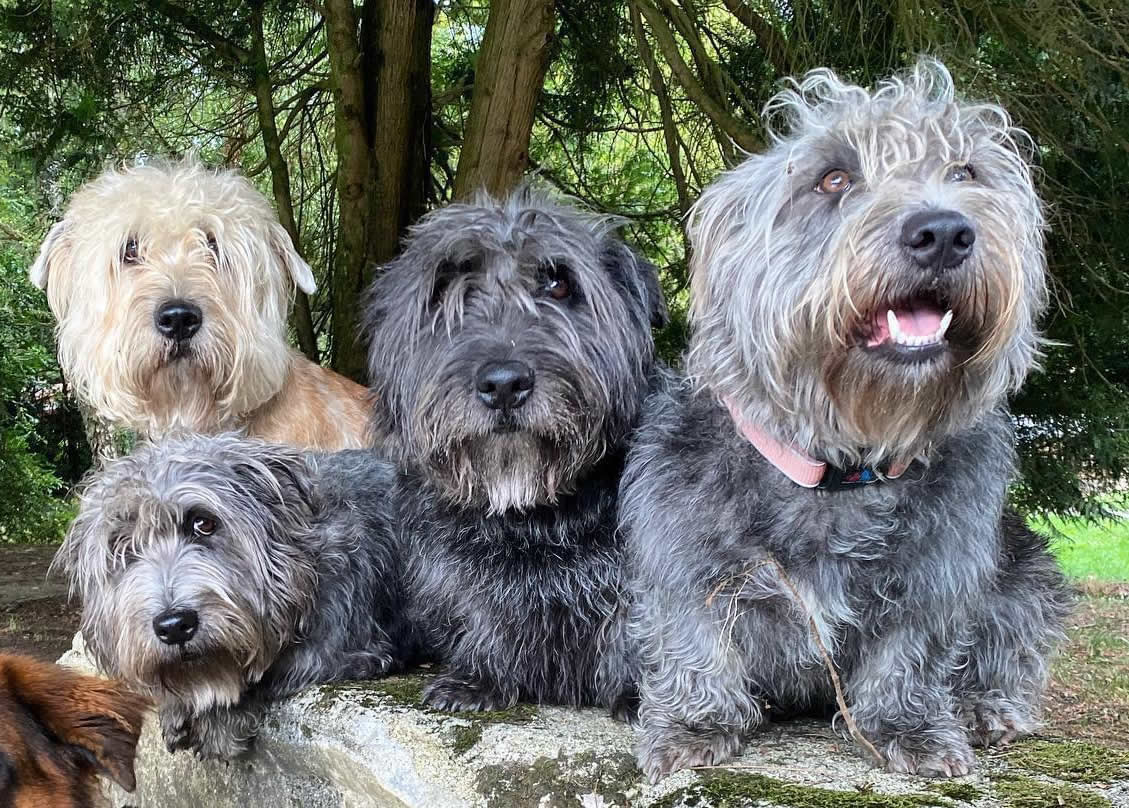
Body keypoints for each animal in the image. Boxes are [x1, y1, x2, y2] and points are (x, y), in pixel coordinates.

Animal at [53, 433, 415, 762]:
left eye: (204, 523)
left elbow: (272, 670)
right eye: (123, 546)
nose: (174, 625)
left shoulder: (348, 645)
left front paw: (218, 720)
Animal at [361, 189, 663, 713]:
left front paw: (635, 693)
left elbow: (630, 628)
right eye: (445, 290)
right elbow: (483, 613)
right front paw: (480, 677)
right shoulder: (459, 572)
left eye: (559, 284)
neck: (531, 517)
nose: (503, 384)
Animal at [623, 58, 1070, 780]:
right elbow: (695, 641)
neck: (839, 466)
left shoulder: (939, 574)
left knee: (1010, 645)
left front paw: (911, 727)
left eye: (966, 171)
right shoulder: (681, 558)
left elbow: (911, 654)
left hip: (1029, 573)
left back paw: (986, 708)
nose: (944, 232)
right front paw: (695, 723)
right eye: (832, 178)